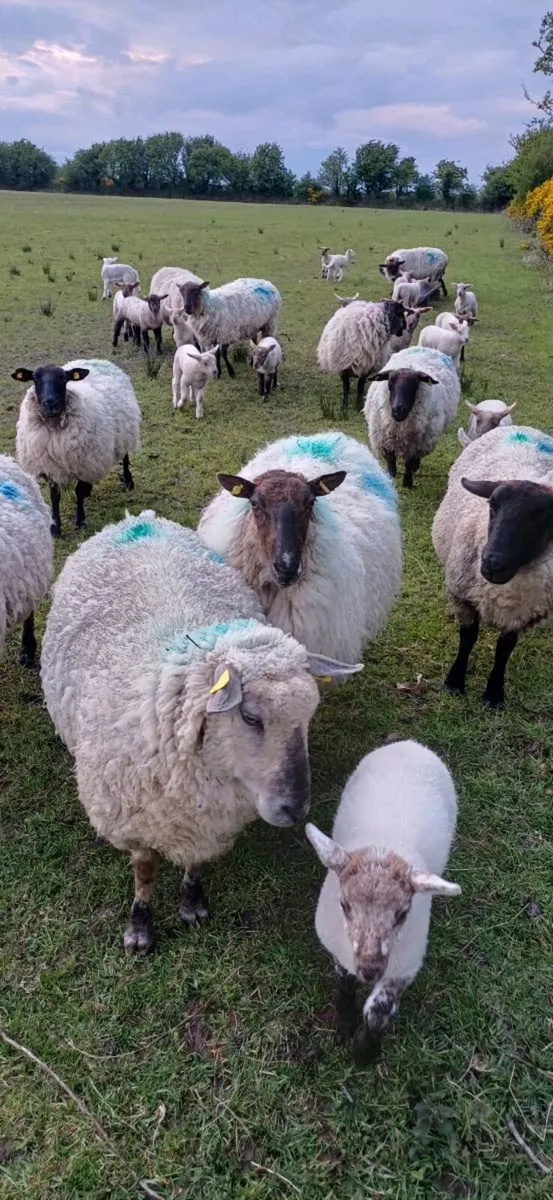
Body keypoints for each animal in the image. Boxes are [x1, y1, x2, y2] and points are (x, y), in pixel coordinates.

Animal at [14, 359, 141, 536]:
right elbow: (54, 496)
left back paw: (128, 482)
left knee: (125, 456)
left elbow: (78, 491)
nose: (50, 403)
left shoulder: (84, 463)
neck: (54, 428)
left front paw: (80, 521)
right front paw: (55, 528)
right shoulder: (50, 465)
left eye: (63, 378)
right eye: (35, 378)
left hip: (125, 431)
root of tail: (100, 360)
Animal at [40, 509, 360, 951]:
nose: (295, 809)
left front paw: (192, 903)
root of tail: (137, 519)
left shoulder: (206, 820)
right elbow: (145, 872)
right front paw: (139, 925)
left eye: (309, 714)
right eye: (251, 717)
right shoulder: (135, 820)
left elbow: (195, 863)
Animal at [306, 739, 460, 1054]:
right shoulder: (341, 950)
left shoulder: (405, 967)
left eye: (402, 914)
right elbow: (344, 985)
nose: (370, 970)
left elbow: (379, 1012)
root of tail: (410, 743)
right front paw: (345, 1024)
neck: (382, 845)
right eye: (345, 906)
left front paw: (364, 1052)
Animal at [364, 345, 461, 488]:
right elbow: (391, 466)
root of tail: (424, 347)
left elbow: (409, 464)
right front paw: (391, 482)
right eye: (390, 383)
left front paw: (407, 483)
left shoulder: (418, 445)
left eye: (415, 384)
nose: (398, 410)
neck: (400, 428)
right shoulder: (385, 442)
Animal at [432, 425, 553, 709]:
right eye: (492, 506)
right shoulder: (462, 595)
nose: (491, 563)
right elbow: (467, 638)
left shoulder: (522, 614)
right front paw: (454, 682)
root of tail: (519, 427)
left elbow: (504, 649)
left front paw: (494, 694)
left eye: (542, 517)